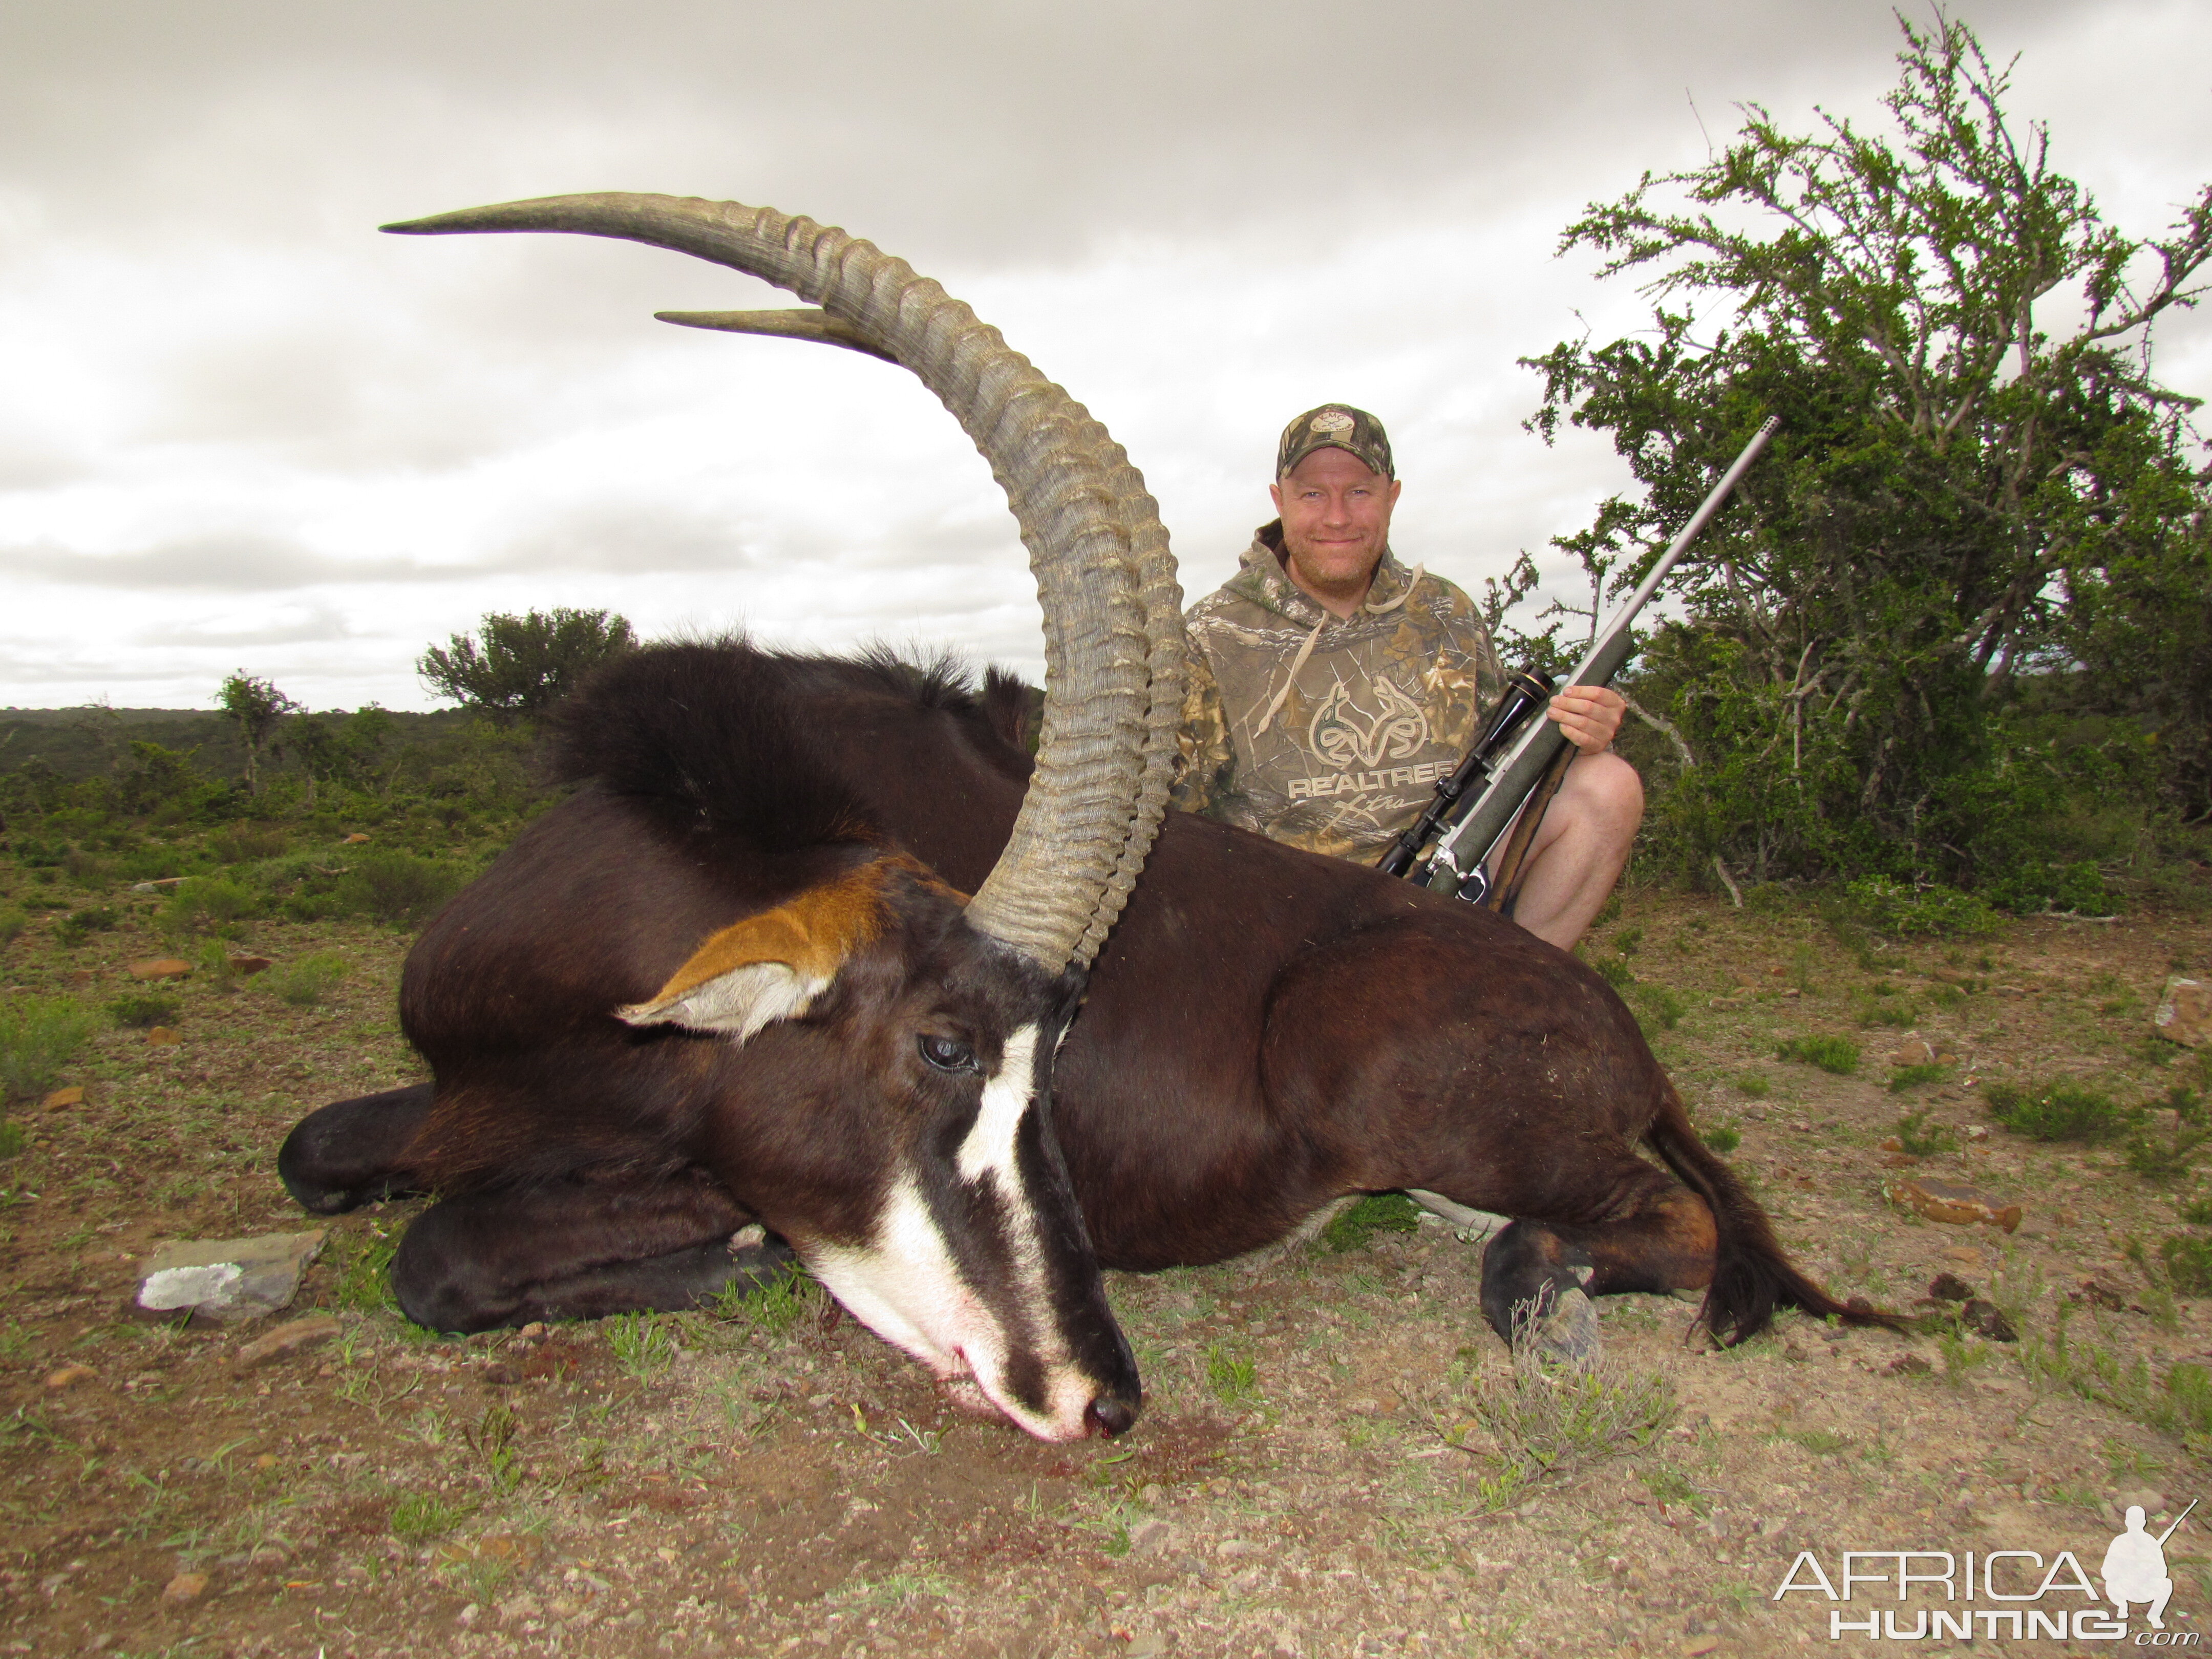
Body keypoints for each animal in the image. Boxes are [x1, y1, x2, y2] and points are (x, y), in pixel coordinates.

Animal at [281, 191, 1884, 1442]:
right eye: (942, 1045)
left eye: (1054, 1062)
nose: (1102, 1392)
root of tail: (1617, 1028)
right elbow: (318, 1149)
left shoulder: (691, 1161)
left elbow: (441, 1248)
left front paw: (734, 1258)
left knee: (1668, 1222)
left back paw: (1528, 1268)